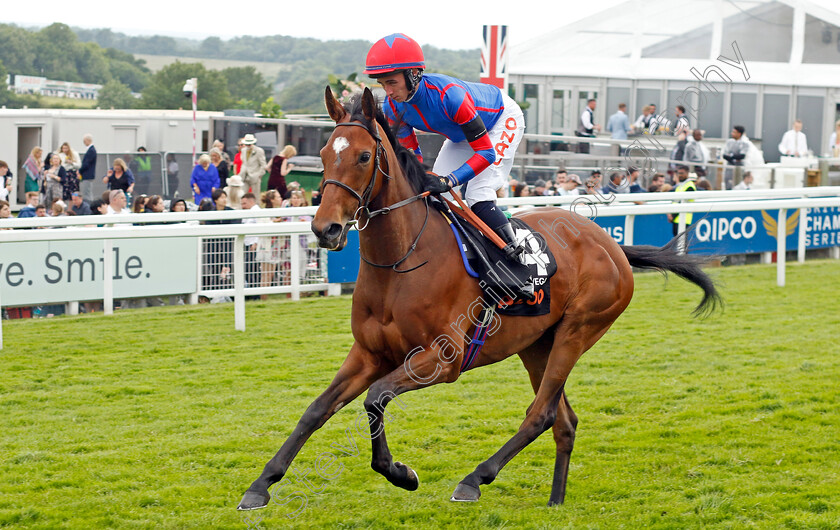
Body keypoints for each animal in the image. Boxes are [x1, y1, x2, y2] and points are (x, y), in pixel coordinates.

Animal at [238, 88, 720, 510]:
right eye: (322, 155)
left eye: (362, 156)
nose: (326, 229)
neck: (401, 264)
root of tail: (612, 245)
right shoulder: (369, 353)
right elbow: (316, 410)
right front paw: (261, 485)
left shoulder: (442, 359)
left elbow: (375, 398)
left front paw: (400, 473)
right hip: (537, 345)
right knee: (563, 420)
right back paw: (555, 501)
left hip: (577, 332)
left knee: (541, 414)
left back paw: (474, 479)